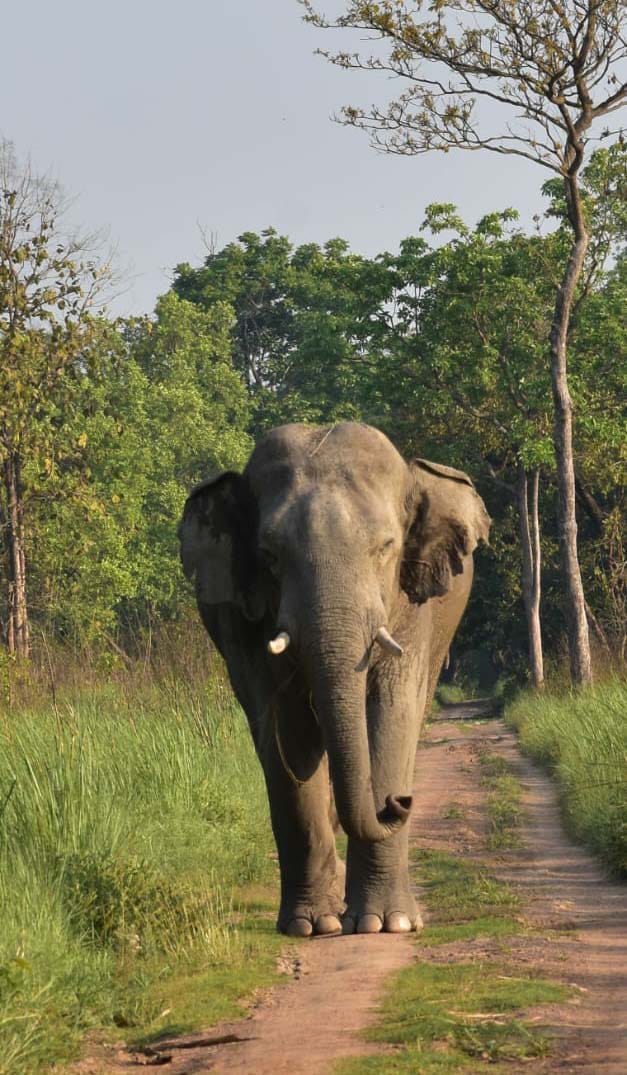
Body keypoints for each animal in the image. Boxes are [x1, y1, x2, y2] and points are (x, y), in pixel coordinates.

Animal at [179, 422, 490, 938]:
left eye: (386, 548)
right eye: (270, 556)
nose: (400, 801)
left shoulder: (414, 607)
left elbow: (391, 710)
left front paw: (386, 924)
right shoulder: (242, 620)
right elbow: (284, 729)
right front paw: (312, 926)